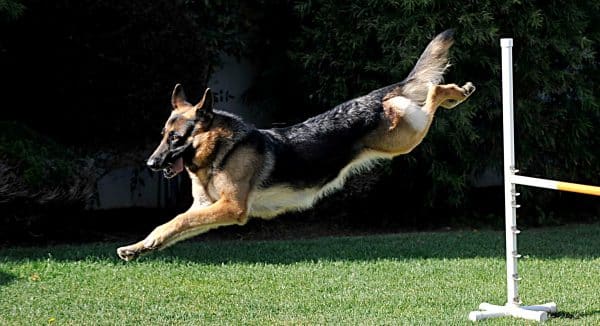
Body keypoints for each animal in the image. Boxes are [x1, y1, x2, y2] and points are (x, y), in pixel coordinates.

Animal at [116, 29, 474, 262]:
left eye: (176, 139)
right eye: (162, 135)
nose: (150, 164)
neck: (221, 150)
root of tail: (376, 97)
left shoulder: (231, 208)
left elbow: (176, 221)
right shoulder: (206, 209)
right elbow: (170, 226)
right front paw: (140, 247)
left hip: (406, 136)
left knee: (432, 93)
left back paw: (457, 92)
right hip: (406, 134)